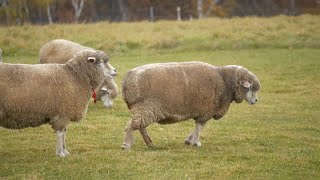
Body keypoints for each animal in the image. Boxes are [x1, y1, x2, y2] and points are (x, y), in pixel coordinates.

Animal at [121, 61, 262, 150]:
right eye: (249, 87)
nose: (255, 101)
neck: (225, 81)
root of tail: (126, 81)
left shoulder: (202, 111)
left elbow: (197, 127)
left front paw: (189, 140)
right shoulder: (207, 110)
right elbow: (200, 127)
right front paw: (196, 142)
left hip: (144, 109)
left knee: (140, 127)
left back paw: (149, 143)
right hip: (146, 108)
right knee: (131, 126)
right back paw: (126, 145)